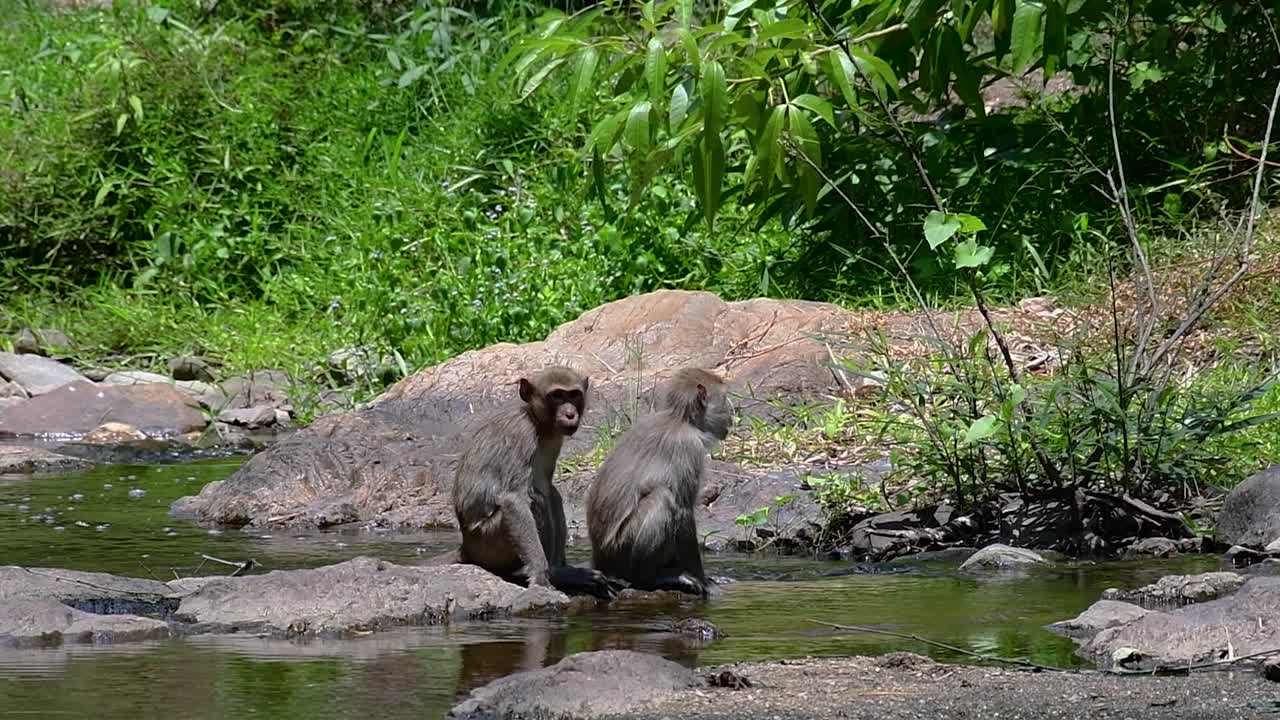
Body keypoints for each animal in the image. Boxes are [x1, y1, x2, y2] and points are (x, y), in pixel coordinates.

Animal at [448, 365, 615, 599]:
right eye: (556, 395)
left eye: (574, 395)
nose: (570, 413)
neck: (537, 421)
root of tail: (466, 547)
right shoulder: (521, 434)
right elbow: (514, 500)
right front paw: (540, 576)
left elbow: (547, 486)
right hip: (488, 543)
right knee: (536, 501)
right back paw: (555, 574)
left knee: (550, 495)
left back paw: (562, 571)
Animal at [585, 367, 734, 597]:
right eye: (725, 399)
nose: (732, 416)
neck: (682, 420)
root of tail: (599, 560)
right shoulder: (688, 447)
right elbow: (683, 512)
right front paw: (704, 582)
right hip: (620, 550)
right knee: (662, 498)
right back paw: (651, 578)